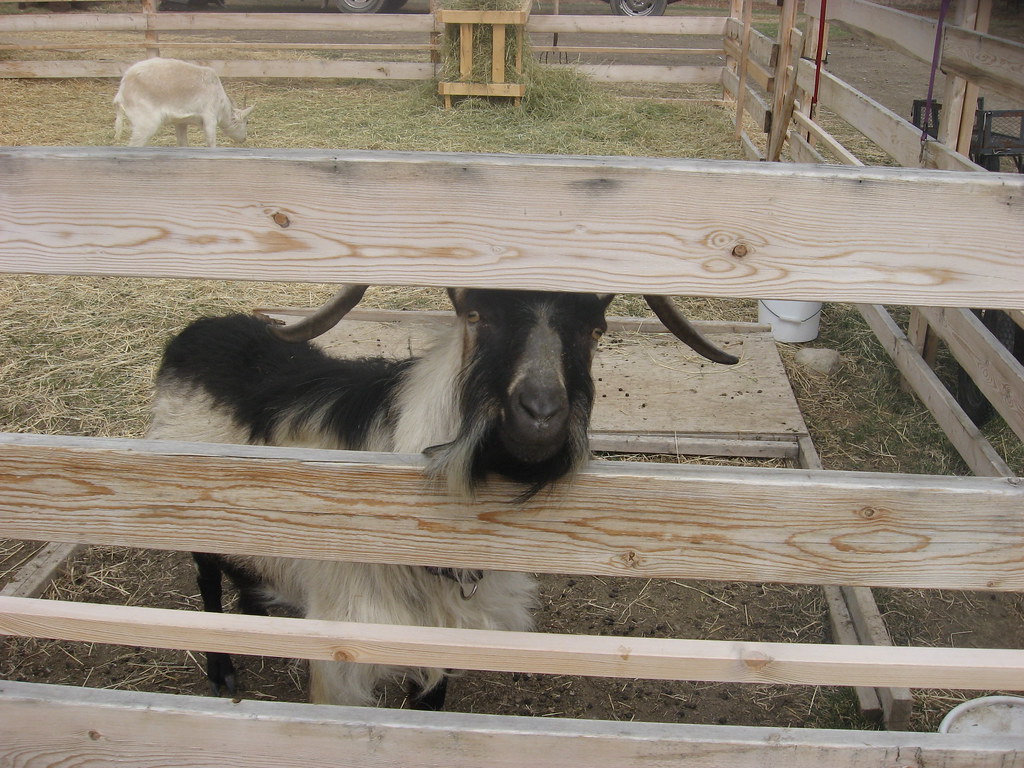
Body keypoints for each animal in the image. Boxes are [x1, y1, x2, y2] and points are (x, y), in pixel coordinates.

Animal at [113, 58, 254, 148]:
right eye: (247, 122)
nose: (244, 139)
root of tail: (122, 90)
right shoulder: (210, 117)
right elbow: (211, 143)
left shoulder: (180, 122)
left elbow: (183, 144)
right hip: (145, 123)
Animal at [147, 286, 738, 709]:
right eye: (475, 314)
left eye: (596, 329)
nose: (541, 417)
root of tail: (198, 330)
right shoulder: (341, 660)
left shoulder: (440, 640)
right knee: (206, 579)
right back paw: (222, 670)